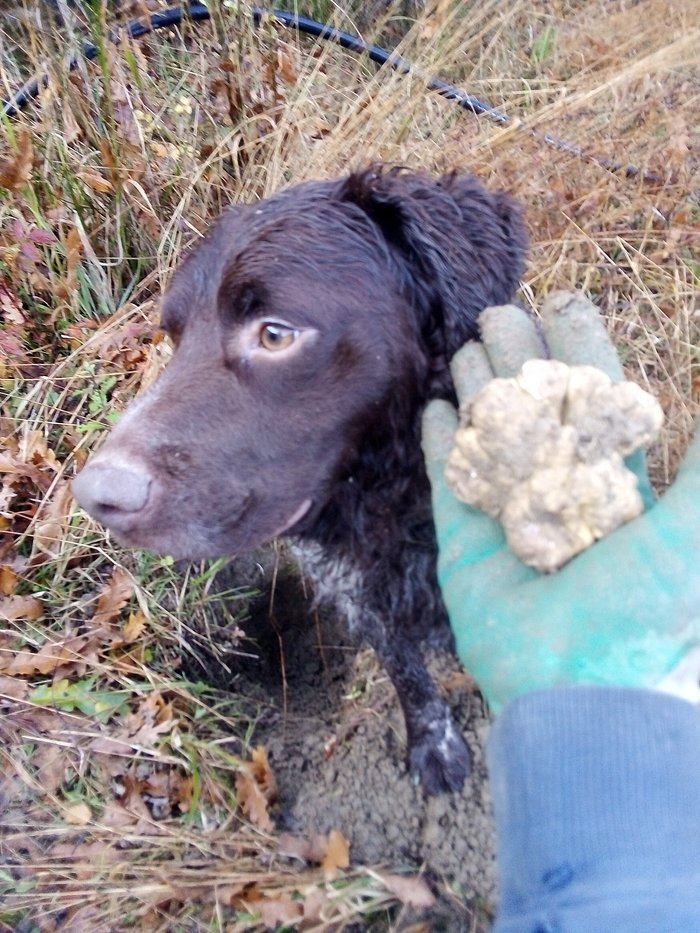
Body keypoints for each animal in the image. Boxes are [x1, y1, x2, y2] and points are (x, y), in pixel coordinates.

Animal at [74, 167, 528, 792]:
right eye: (175, 337)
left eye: (275, 335)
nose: (98, 496)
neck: (390, 506)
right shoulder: (363, 601)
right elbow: (407, 674)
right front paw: (433, 745)